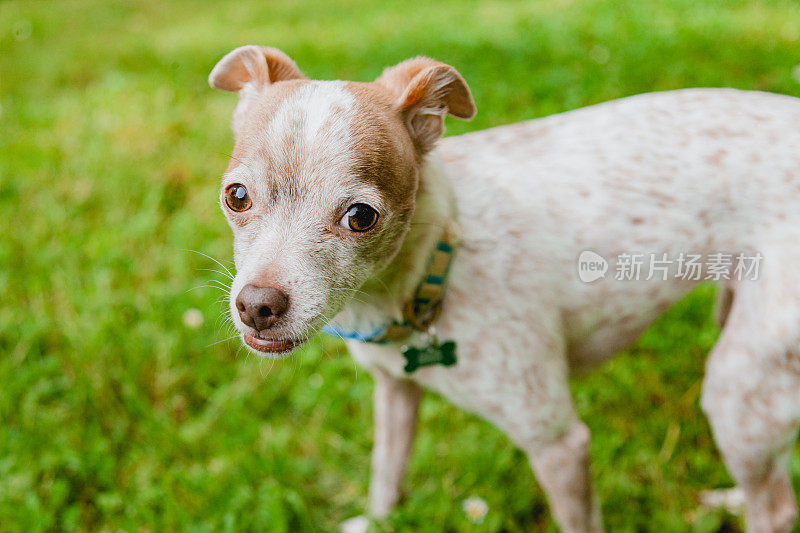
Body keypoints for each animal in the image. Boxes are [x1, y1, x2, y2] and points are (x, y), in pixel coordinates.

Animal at [209, 46, 800, 532]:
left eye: (361, 217)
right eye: (236, 196)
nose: (257, 306)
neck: (436, 262)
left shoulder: (559, 445)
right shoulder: (395, 392)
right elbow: (386, 476)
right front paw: (377, 522)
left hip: (735, 387)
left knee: (776, 506)